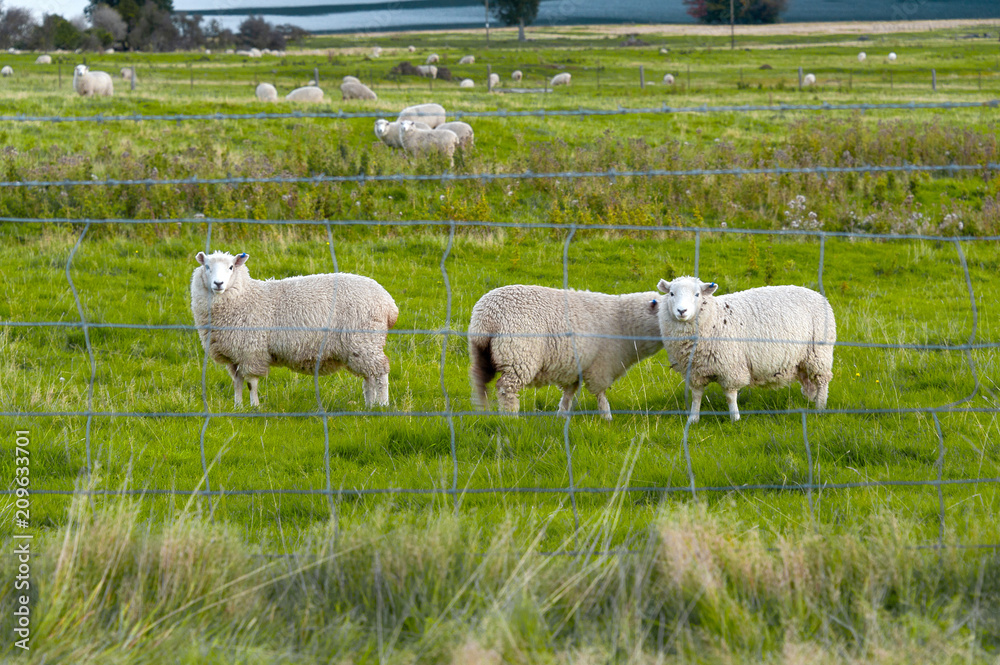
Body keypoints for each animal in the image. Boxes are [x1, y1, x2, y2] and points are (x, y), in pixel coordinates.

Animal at [190, 251, 398, 408]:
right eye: (207, 267)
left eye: (231, 267)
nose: (218, 284)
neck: (245, 296)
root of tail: (389, 304)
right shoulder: (235, 354)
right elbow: (238, 383)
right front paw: (238, 407)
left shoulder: (252, 351)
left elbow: (251, 383)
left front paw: (254, 406)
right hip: (362, 346)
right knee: (369, 377)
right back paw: (370, 404)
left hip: (365, 340)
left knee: (380, 373)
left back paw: (382, 404)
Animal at [468, 285, 664, 420]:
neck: (622, 322)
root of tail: (487, 317)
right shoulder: (600, 366)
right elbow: (600, 393)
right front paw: (606, 417)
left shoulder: (574, 367)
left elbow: (569, 393)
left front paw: (562, 415)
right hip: (518, 356)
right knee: (506, 388)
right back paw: (510, 417)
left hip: (482, 353)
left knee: (479, 380)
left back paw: (482, 411)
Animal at [655, 276, 835, 423]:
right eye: (671, 293)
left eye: (697, 294)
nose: (682, 311)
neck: (715, 318)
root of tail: (818, 295)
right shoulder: (694, 371)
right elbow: (696, 395)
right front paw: (693, 419)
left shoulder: (730, 367)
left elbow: (730, 396)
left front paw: (735, 419)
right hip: (802, 359)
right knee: (809, 382)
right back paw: (811, 402)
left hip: (819, 353)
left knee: (822, 380)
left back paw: (820, 407)